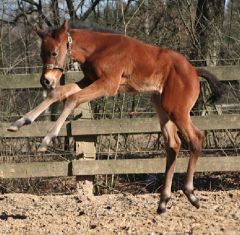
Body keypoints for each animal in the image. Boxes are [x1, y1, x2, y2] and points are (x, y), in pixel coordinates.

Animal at [8, 21, 223, 214]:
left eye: (53, 52)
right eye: (41, 53)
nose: (45, 81)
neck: (98, 49)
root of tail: (194, 71)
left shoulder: (108, 84)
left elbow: (72, 99)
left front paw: (46, 140)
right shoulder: (88, 80)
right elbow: (58, 94)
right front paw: (19, 123)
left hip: (177, 110)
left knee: (196, 138)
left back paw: (190, 193)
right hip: (161, 107)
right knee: (174, 145)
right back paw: (163, 201)